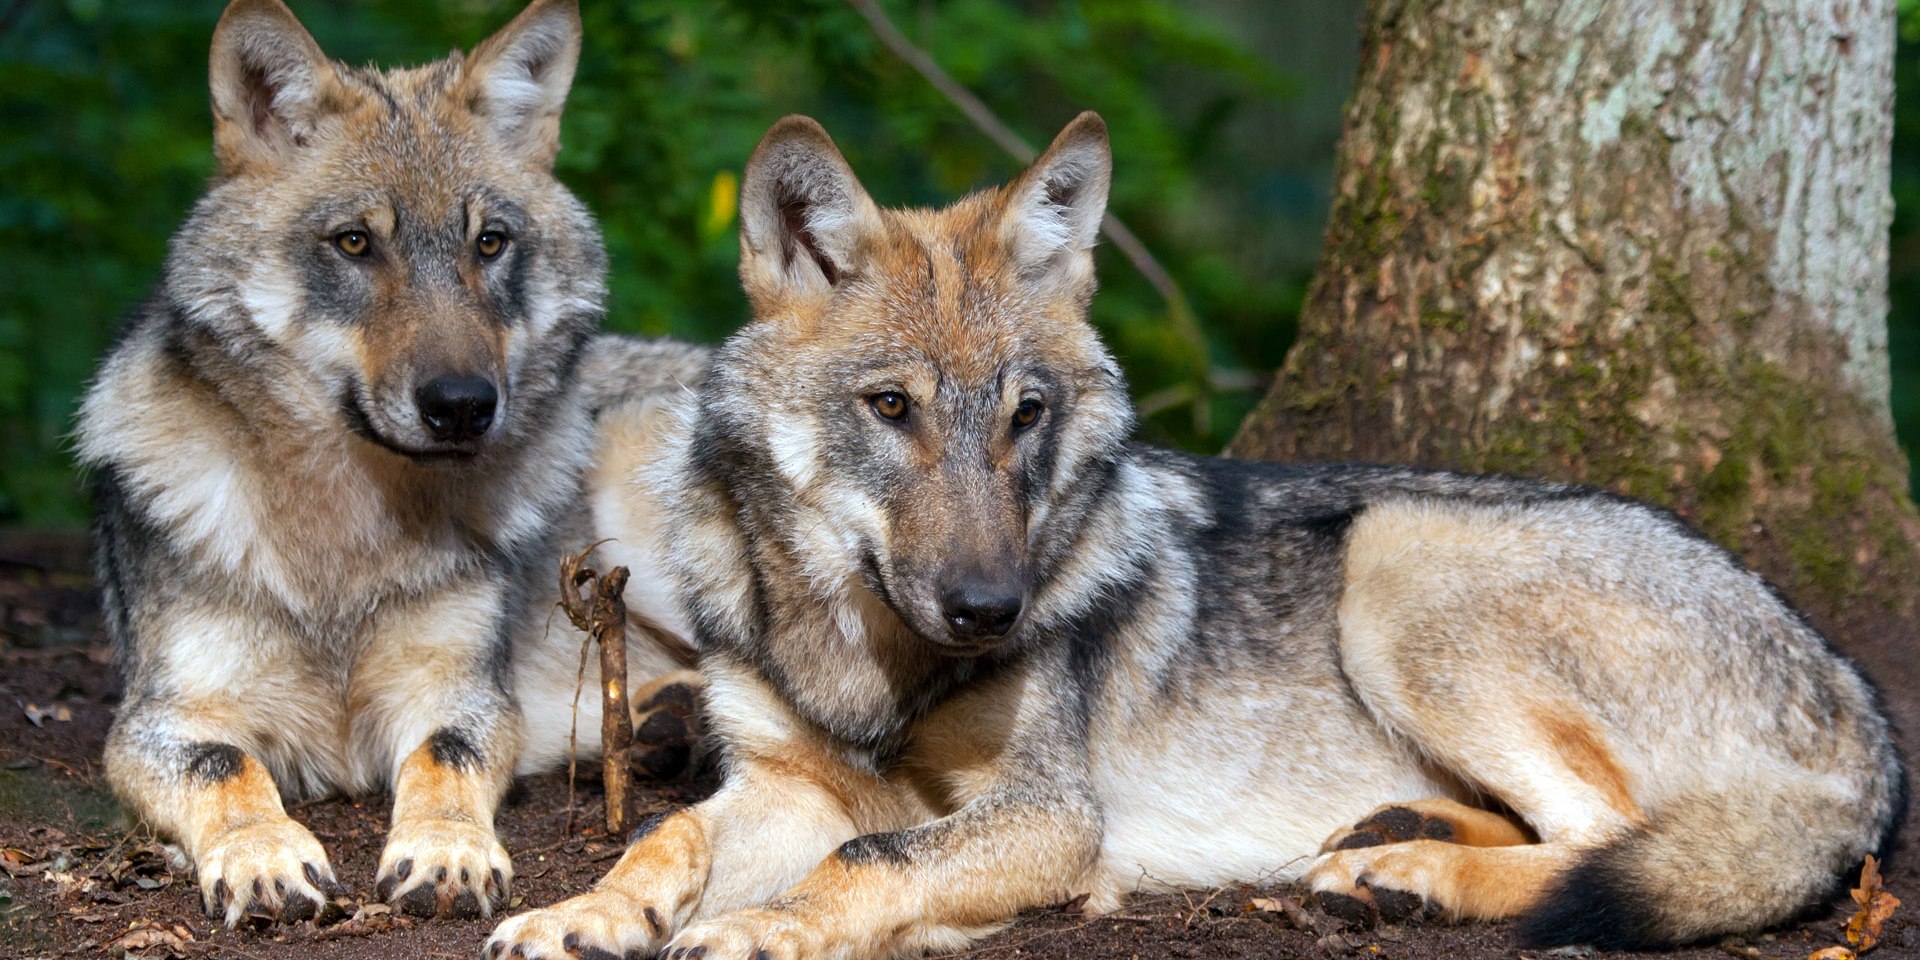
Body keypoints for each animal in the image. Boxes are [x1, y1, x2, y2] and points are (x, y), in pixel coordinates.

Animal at [72, 0, 714, 929]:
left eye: (490, 243)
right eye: (355, 243)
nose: (463, 404)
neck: (345, 530)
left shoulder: (462, 693)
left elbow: (444, 756)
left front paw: (447, 852)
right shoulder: (159, 719)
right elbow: (226, 765)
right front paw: (263, 856)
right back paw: (665, 724)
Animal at [483, 114, 1904, 960]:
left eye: (1026, 415)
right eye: (891, 409)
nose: (992, 610)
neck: (865, 658)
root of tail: (1866, 716)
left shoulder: (1048, 818)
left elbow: (870, 856)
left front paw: (764, 930)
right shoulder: (784, 783)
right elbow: (666, 837)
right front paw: (581, 911)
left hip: (1399, 565)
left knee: (1613, 846)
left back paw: (1417, 875)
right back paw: (1387, 847)